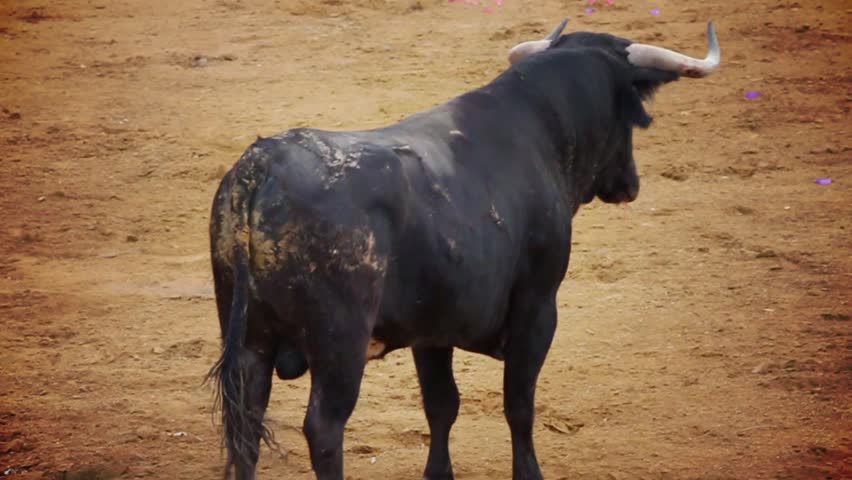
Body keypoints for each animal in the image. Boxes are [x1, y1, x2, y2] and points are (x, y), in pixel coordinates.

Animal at [207, 19, 721, 480]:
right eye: (630, 119)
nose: (629, 185)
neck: (538, 131)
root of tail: (261, 165)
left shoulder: (431, 329)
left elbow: (442, 404)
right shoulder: (538, 307)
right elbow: (519, 403)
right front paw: (528, 473)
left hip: (248, 336)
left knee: (246, 423)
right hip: (340, 343)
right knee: (324, 429)